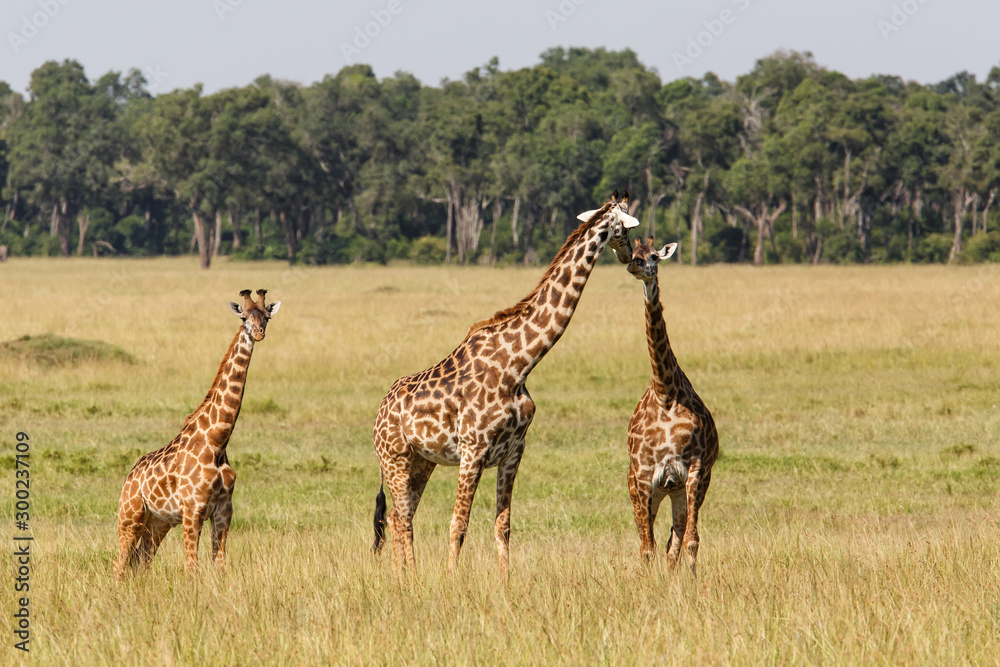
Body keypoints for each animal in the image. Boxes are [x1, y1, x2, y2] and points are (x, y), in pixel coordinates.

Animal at [113, 289, 280, 579]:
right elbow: (192, 567)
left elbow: (219, 564)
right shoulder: (192, 510)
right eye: (244, 317)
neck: (217, 441)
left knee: (142, 561)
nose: (259, 333)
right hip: (130, 515)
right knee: (119, 563)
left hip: (158, 522)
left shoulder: (224, 510)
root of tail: (130, 475)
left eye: (267, 317)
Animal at [371, 191, 639, 575]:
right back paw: (409, 576)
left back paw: (407, 575)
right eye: (627, 228)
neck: (519, 365)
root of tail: (380, 411)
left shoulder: (513, 451)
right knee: (403, 517)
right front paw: (452, 579)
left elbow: (503, 524)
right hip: (395, 457)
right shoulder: (473, 450)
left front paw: (505, 580)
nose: (629, 256)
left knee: (397, 516)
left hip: (423, 461)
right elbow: (459, 523)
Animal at [624, 238, 718, 574]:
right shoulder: (643, 475)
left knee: (675, 537)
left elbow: (690, 540)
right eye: (632, 253)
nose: (635, 265)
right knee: (652, 538)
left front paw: (690, 580)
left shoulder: (696, 470)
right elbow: (646, 546)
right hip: (643, 487)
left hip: (679, 488)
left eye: (654, 256)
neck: (665, 392)